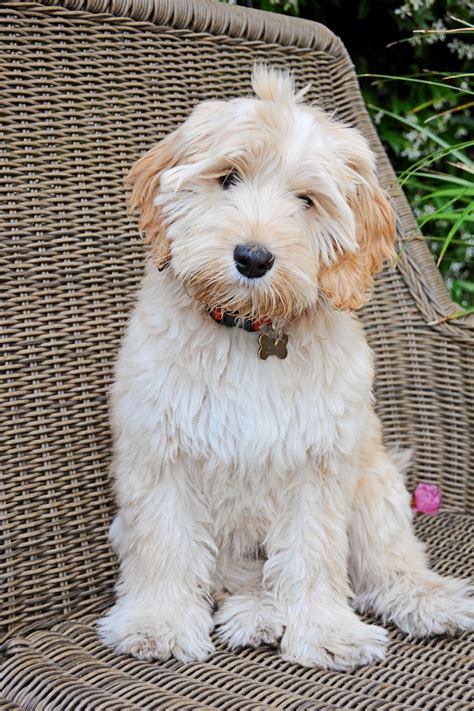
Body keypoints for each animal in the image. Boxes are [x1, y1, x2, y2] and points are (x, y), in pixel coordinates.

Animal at [97, 64, 474, 672]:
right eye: (228, 177)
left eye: (307, 200)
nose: (252, 258)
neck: (251, 331)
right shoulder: (159, 452)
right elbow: (164, 542)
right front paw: (156, 623)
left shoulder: (318, 462)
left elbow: (315, 553)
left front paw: (325, 630)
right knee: (238, 579)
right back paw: (255, 614)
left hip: (374, 484)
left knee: (387, 560)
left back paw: (425, 598)